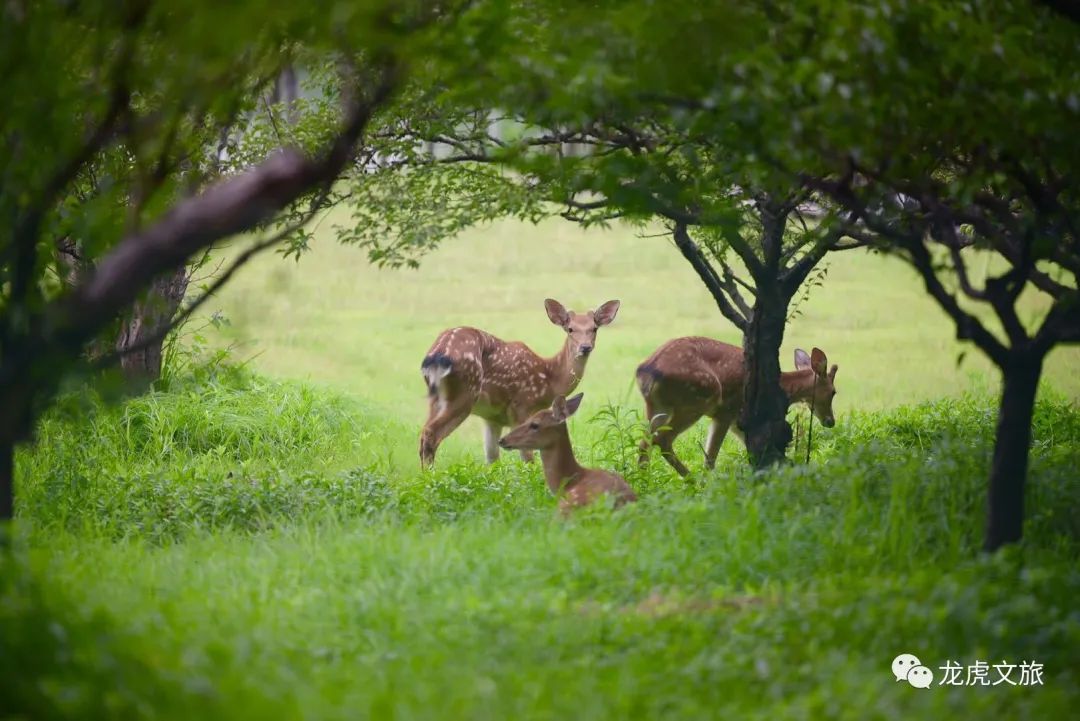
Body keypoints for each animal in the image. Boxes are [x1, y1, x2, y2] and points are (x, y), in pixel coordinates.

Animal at [416, 297, 622, 468]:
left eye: (594, 328)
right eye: (570, 329)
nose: (585, 347)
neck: (549, 379)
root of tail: (437, 355)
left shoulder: (493, 417)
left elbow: (492, 459)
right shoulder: (522, 406)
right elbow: (528, 457)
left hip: (436, 398)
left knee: (423, 435)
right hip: (465, 393)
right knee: (431, 433)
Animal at [635, 338, 838, 474]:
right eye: (834, 392)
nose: (831, 421)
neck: (782, 388)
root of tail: (645, 371)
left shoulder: (737, 421)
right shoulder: (727, 411)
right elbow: (710, 458)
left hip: (657, 408)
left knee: (645, 442)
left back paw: (643, 480)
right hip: (698, 399)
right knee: (662, 439)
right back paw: (691, 480)